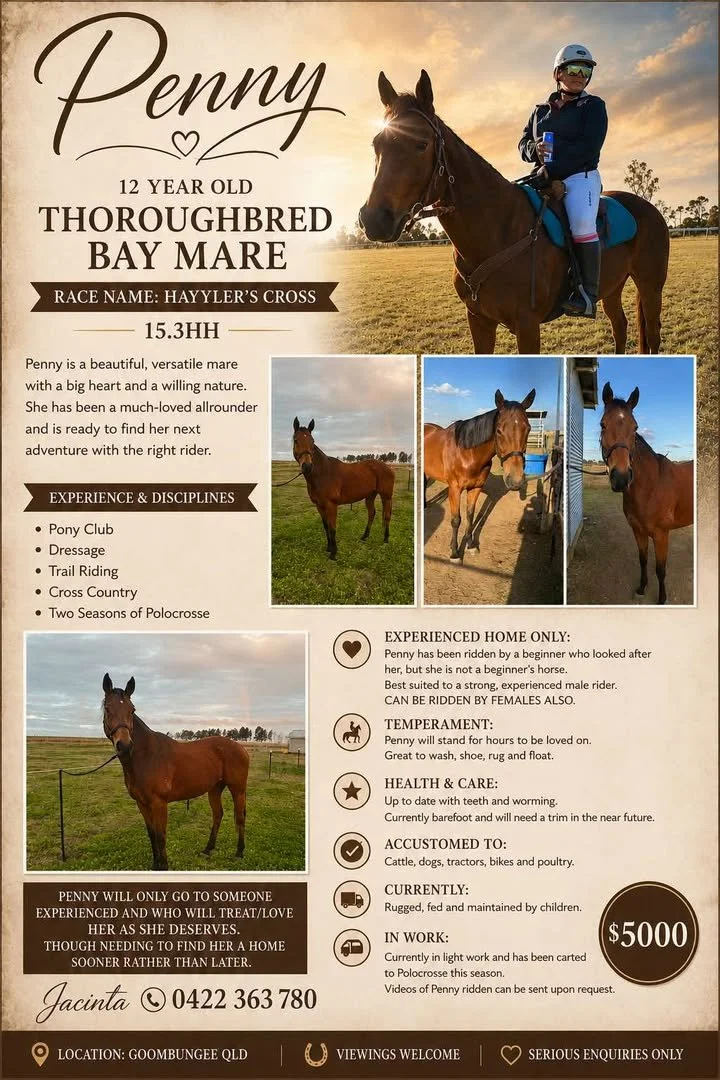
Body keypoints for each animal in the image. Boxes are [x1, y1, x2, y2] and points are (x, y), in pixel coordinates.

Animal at [102, 674, 249, 871]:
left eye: (132, 710)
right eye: (107, 708)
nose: (124, 746)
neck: (146, 756)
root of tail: (241, 748)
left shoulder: (159, 803)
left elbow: (161, 835)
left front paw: (163, 866)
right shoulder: (142, 804)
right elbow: (151, 834)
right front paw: (155, 864)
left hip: (237, 789)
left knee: (240, 817)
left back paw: (239, 852)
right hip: (215, 789)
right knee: (218, 815)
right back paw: (208, 849)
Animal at [292, 417, 395, 559]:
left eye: (312, 441)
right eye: (296, 440)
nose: (307, 466)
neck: (323, 473)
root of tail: (388, 467)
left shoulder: (331, 505)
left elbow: (332, 528)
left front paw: (334, 554)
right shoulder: (319, 505)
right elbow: (326, 526)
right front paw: (329, 548)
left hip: (386, 496)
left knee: (387, 515)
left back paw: (385, 539)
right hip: (370, 496)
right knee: (371, 513)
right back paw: (364, 537)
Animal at [359, 70, 669, 355]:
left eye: (421, 144)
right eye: (376, 144)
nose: (373, 220)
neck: (498, 229)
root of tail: (649, 209)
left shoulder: (527, 325)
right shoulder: (479, 320)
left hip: (650, 287)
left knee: (652, 336)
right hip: (613, 287)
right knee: (620, 326)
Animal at [424, 388, 535, 561]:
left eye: (528, 428)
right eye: (498, 430)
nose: (515, 481)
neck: (467, 452)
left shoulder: (475, 488)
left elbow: (470, 516)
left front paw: (470, 545)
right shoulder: (454, 489)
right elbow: (456, 520)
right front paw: (455, 553)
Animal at [600, 383, 694, 604]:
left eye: (635, 427)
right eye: (602, 425)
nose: (621, 478)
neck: (651, 487)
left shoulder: (661, 535)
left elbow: (660, 569)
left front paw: (661, 598)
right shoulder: (638, 531)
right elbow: (643, 560)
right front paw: (641, 588)